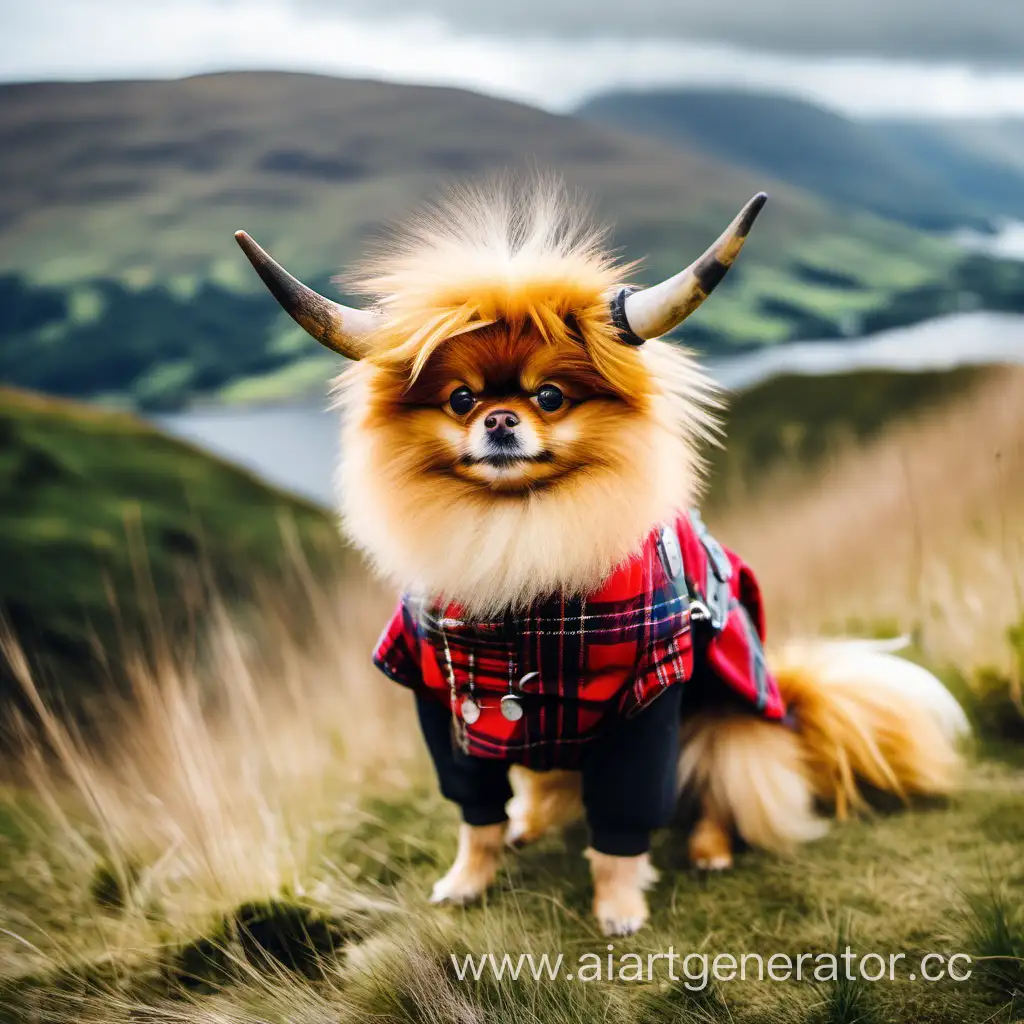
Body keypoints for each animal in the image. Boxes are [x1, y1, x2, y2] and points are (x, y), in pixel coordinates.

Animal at [235, 178, 970, 937]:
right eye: (461, 399)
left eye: (550, 395)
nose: (500, 419)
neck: (519, 535)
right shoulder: (440, 701)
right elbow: (474, 812)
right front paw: (468, 880)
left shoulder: (647, 704)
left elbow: (625, 819)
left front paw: (618, 906)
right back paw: (530, 824)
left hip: (725, 719)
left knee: (718, 788)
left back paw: (709, 848)